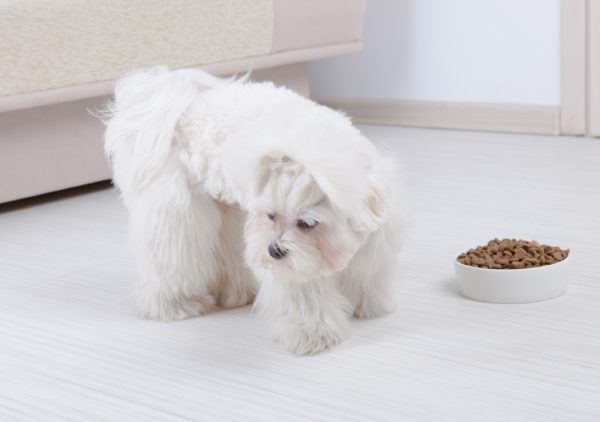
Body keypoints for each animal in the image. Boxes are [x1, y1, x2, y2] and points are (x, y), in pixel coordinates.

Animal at [104, 68, 404, 352]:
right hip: (179, 214)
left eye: (307, 223)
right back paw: (175, 305)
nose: (275, 250)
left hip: (229, 210)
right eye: (271, 215)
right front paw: (314, 336)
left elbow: (365, 276)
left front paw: (366, 306)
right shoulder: (294, 267)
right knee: (172, 259)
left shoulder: (376, 243)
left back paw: (235, 294)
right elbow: (305, 296)